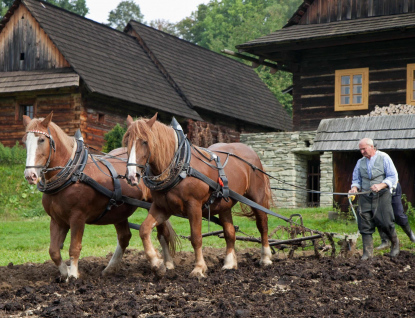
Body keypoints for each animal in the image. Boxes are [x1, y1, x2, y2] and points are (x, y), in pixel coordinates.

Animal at [22, 112, 178, 278]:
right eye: (25, 141)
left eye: (41, 139)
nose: (30, 175)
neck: (73, 173)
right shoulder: (57, 220)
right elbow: (54, 251)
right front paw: (65, 272)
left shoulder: (77, 217)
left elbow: (74, 247)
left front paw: (74, 275)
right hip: (119, 211)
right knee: (124, 237)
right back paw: (111, 268)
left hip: (155, 205)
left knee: (162, 233)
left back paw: (167, 263)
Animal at [123, 113, 272, 278]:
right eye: (127, 141)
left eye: (145, 141)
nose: (132, 176)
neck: (181, 167)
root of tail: (251, 152)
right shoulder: (162, 207)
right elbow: (144, 229)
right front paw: (157, 262)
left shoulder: (194, 206)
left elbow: (196, 237)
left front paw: (199, 268)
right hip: (224, 204)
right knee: (230, 232)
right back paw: (229, 263)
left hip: (257, 198)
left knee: (263, 225)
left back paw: (266, 258)